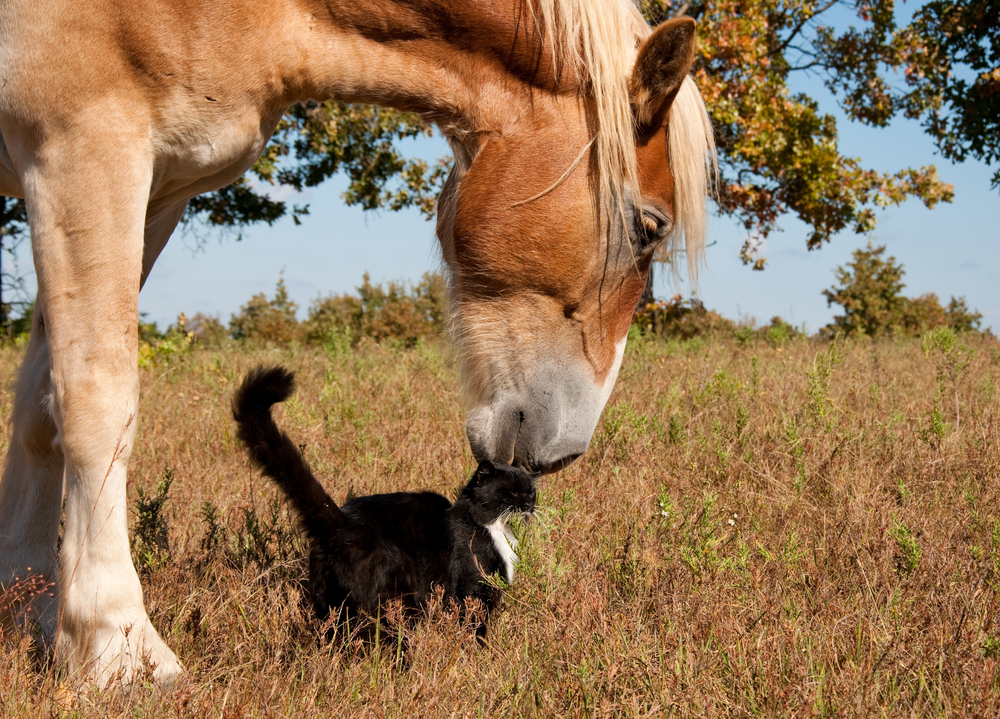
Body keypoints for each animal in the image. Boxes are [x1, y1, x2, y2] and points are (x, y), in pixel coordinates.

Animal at [231, 362, 540, 640]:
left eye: (530, 491)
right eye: (510, 492)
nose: (527, 505)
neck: (492, 528)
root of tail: (340, 522)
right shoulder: (472, 589)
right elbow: (475, 629)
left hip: (329, 601)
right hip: (396, 593)